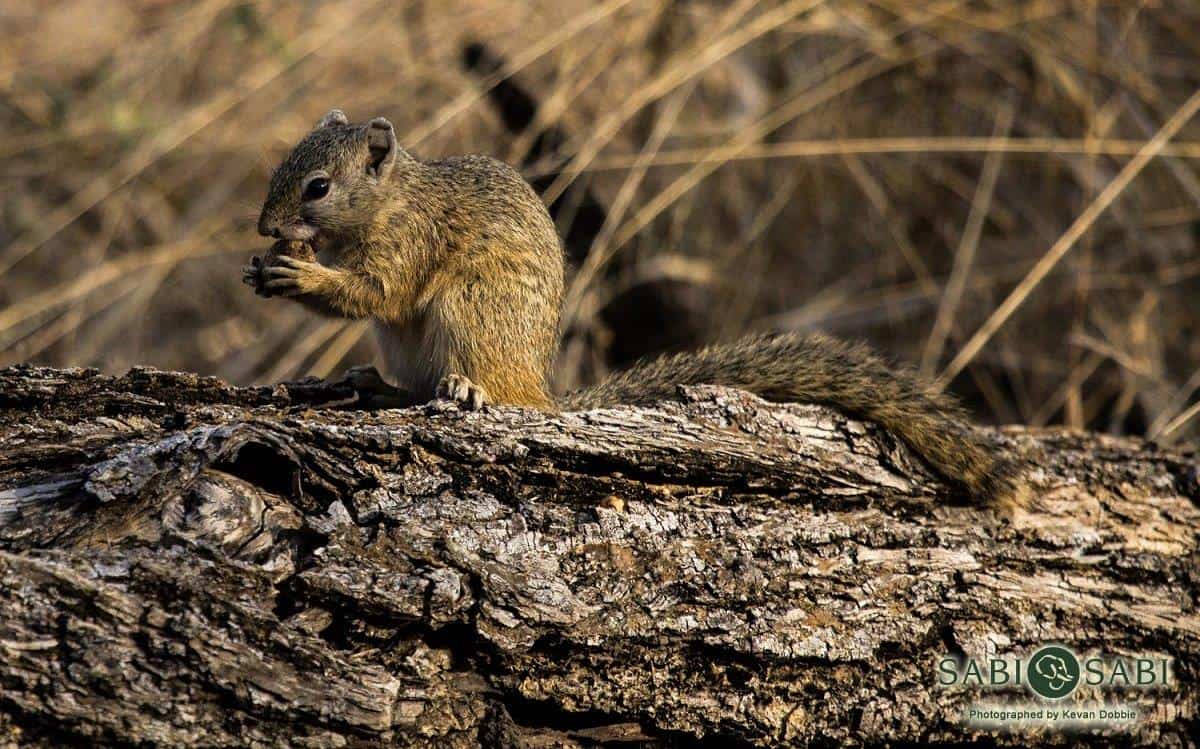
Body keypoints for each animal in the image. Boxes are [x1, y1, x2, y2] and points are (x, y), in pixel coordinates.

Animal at [245, 110, 1025, 507]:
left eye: (317, 186)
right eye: (283, 163)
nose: (263, 229)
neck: (390, 199)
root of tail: (540, 387)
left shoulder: (411, 242)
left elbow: (378, 290)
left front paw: (297, 274)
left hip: (471, 312)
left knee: (487, 389)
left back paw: (469, 390)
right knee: (407, 386)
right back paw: (371, 381)